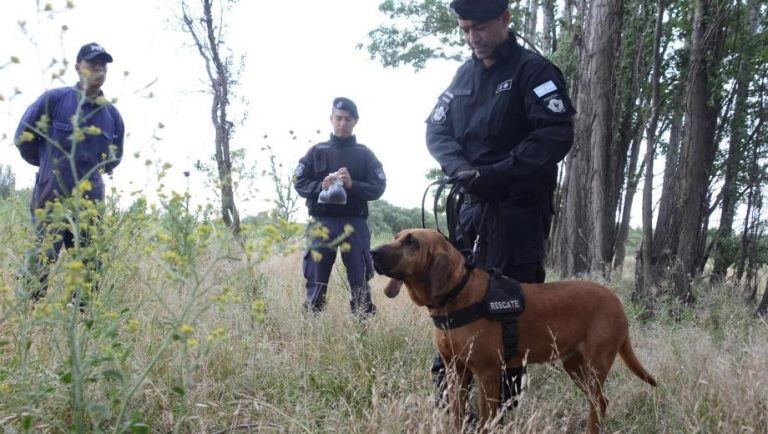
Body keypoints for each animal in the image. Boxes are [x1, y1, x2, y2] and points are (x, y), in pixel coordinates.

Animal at [370, 229, 656, 432]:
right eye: (397, 237)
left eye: (412, 242)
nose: (372, 252)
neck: (457, 294)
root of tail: (617, 303)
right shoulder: (455, 371)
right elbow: (457, 414)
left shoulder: (488, 374)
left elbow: (486, 420)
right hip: (574, 365)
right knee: (601, 402)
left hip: (596, 365)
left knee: (598, 404)